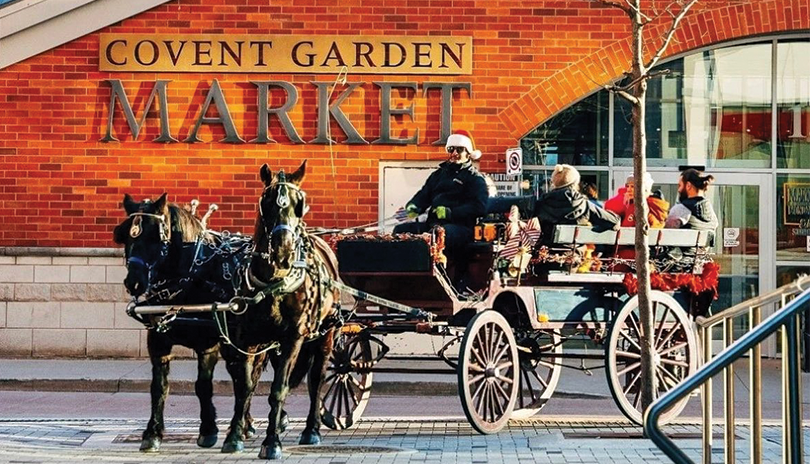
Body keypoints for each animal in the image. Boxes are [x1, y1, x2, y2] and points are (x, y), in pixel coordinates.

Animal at [112, 192, 266, 454]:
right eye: (125, 235)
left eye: (156, 236)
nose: (134, 282)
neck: (191, 277)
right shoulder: (158, 341)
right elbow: (159, 386)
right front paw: (152, 433)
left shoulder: (209, 345)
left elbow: (205, 386)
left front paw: (211, 431)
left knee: (251, 378)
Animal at [219, 161, 340, 458]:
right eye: (267, 202)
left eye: (300, 204)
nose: (283, 251)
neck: (274, 282)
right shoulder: (247, 340)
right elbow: (245, 386)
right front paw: (235, 436)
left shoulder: (293, 338)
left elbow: (279, 389)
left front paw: (272, 442)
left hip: (325, 335)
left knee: (316, 379)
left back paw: (311, 429)